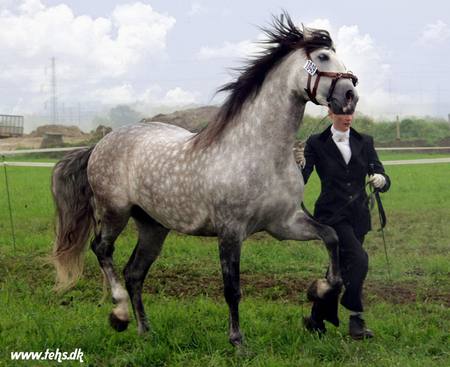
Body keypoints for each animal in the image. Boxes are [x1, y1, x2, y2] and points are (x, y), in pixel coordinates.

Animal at [51, 14, 356, 346]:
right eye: (323, 57)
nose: (350, 96)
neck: (261, 154)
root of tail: (99, 144)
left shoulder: (284, 223)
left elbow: (331, 237)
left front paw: (318, 290)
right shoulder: (231, 231)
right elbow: (232, 288)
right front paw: (237, 341)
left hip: (153, 226)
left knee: (134, 273)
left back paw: (145, 331)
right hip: (113, 213)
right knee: (102, 251)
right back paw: (119, 316)